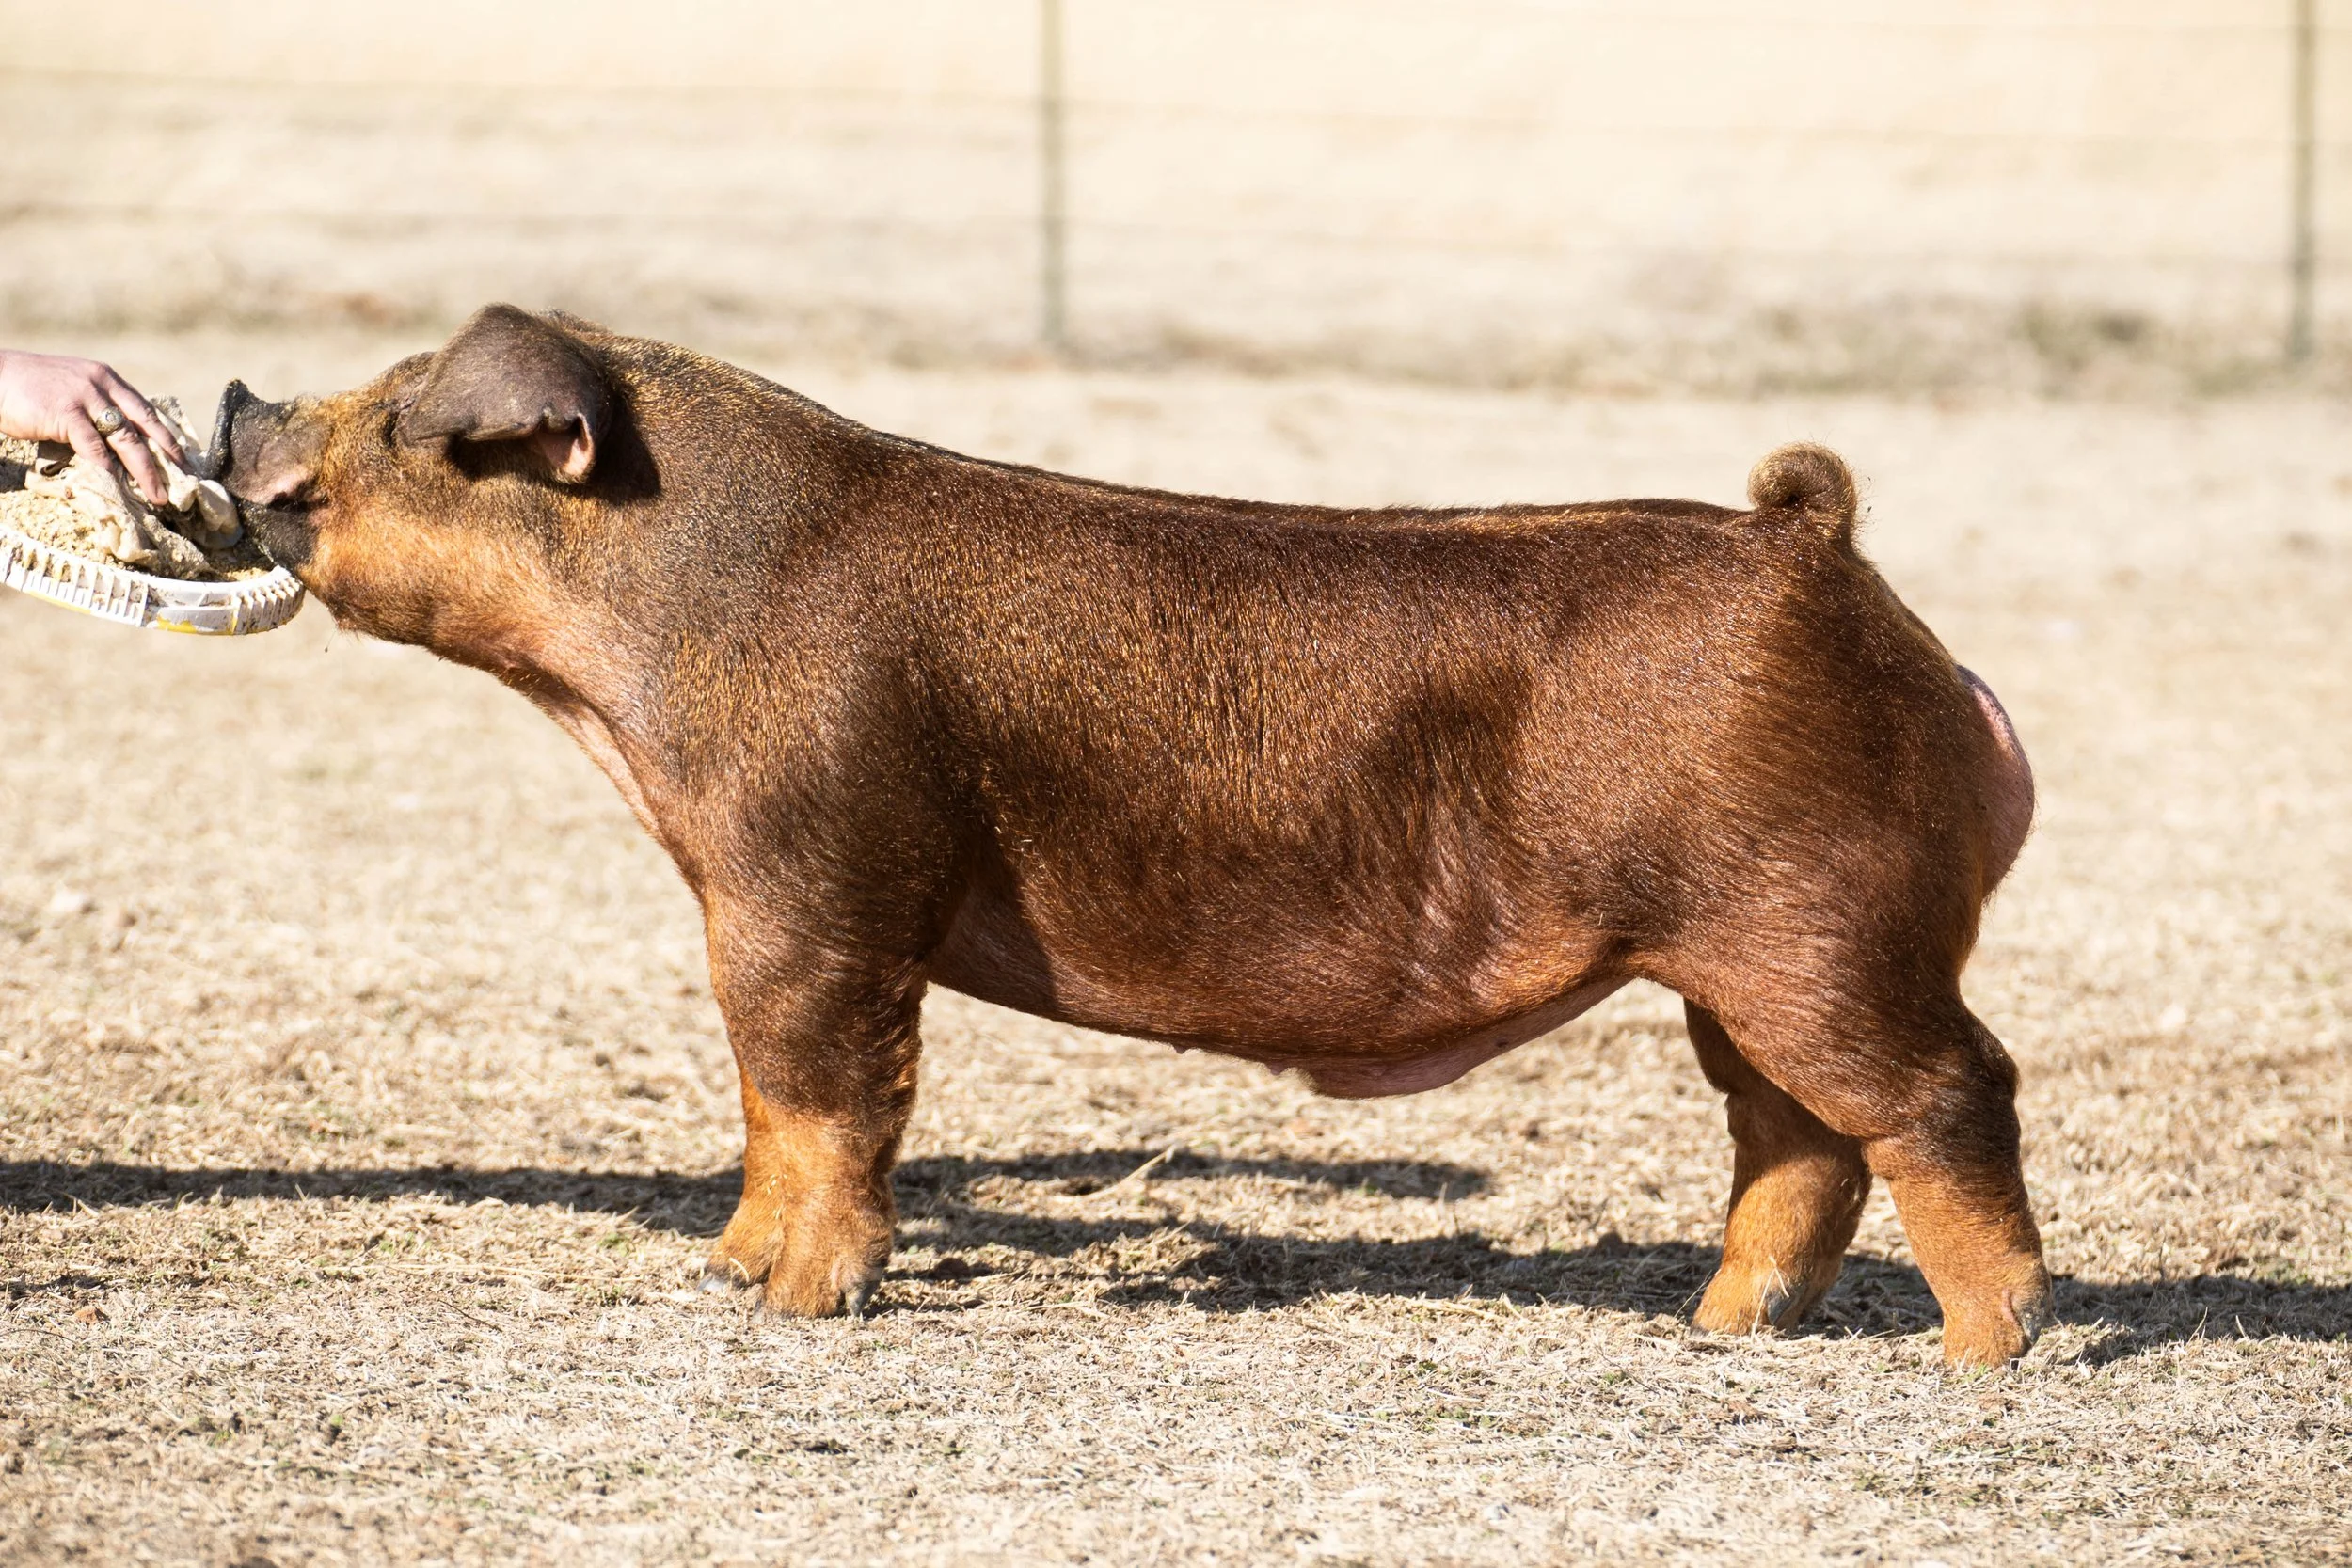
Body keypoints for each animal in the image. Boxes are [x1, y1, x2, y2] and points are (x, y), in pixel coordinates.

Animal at [219, 304, 2049, 1367]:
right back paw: (1721, 1330)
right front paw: (727, 1273)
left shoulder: (818, 877)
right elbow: (758, 1094)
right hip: (1739, 960)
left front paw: (803, 1306)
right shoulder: (749, 897)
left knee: (1950, 1091)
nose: (237, 400)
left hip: (1821, 920)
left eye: (406, 411)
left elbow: (827, 1092)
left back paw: (1987, 1353)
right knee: (1798, 1136)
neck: (633, 660)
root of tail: (1822, 555)